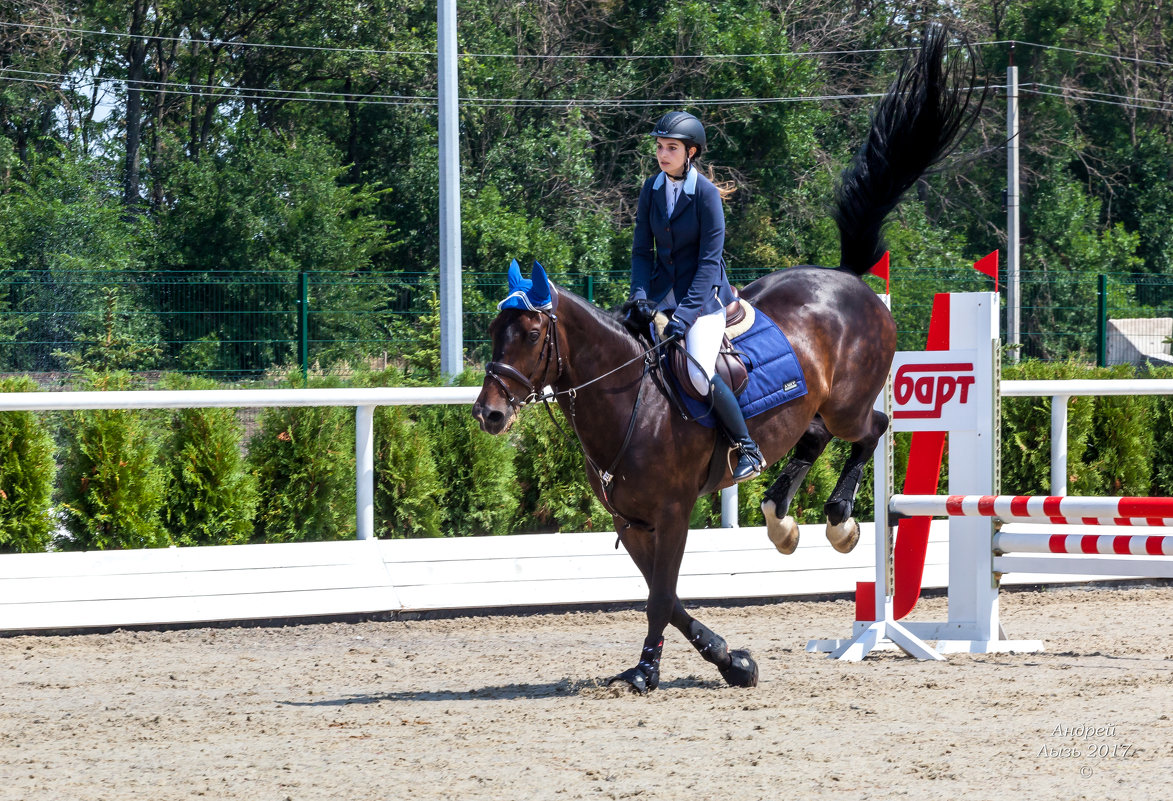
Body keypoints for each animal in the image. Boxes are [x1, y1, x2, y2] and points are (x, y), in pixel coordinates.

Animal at [471, 23, 985, 689]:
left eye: (531, 334)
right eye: (493, 330)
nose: (489, 413)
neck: (629, 401)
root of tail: (849, 280)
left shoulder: (671, 512)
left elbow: (660, 597)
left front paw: (649, 672)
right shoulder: (631, 521)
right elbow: (665, 596)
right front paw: (730, 658)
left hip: (849, 402)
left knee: (872, 427)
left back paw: (839, 519)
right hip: (814, 407)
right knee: (813, 436)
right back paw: (780, 518)